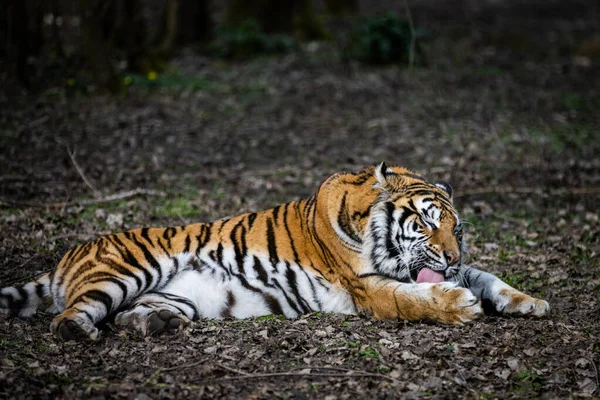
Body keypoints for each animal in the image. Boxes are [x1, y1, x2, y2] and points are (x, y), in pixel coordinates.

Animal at [0, 163, 552, 340]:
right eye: (425, 223)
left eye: (458, 229)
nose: (452, 257)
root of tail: (67, 257)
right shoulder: (368, 288)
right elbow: (412, 300)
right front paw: (459, 306)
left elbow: (489, 277)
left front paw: (530, 302)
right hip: (125, 270)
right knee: (68, 317)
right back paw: (79, 332)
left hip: (169, 295)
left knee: (132, 314)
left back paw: (155, 325)